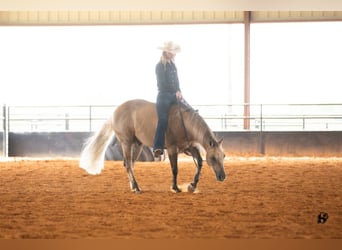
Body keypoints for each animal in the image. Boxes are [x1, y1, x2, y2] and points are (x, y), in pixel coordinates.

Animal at [79, 99, 226, 193]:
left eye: (223, 156)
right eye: (213, 158)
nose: (222, 177)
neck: (183, 122)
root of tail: (114, 113)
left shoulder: (190, 147)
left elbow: (200, 163)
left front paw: (192, 186)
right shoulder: (172, 149)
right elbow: (175, 169)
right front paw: (175, 188)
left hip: (137, 145)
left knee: (130, 164)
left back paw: (133, 186)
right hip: (126, 143)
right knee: (128, 164)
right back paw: (137, 188)